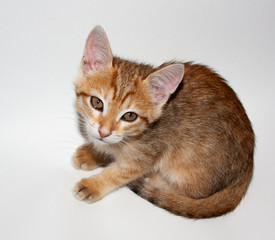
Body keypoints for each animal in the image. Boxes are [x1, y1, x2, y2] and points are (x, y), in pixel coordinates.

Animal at [72, 25, 256, 218]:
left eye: (130, 116)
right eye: (97, 103)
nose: (104, 132)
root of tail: (248, 164)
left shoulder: (145, 156)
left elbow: (119, 173)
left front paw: (93, 185)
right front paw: (93, 153)